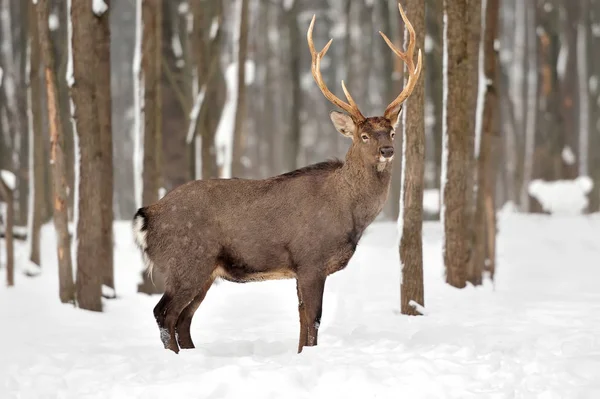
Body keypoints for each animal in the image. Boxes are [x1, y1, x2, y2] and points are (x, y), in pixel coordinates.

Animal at [132, 2, 422, 354]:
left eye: (391, 131)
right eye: (364, 135)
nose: (388, 150)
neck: (349, 215)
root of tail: (147, 215)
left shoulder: (303, 268)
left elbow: (303, 321)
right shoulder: (310, 258)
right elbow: (313, 319)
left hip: (204, 271)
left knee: (183, 320)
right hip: (186, 260)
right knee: (164, 313)